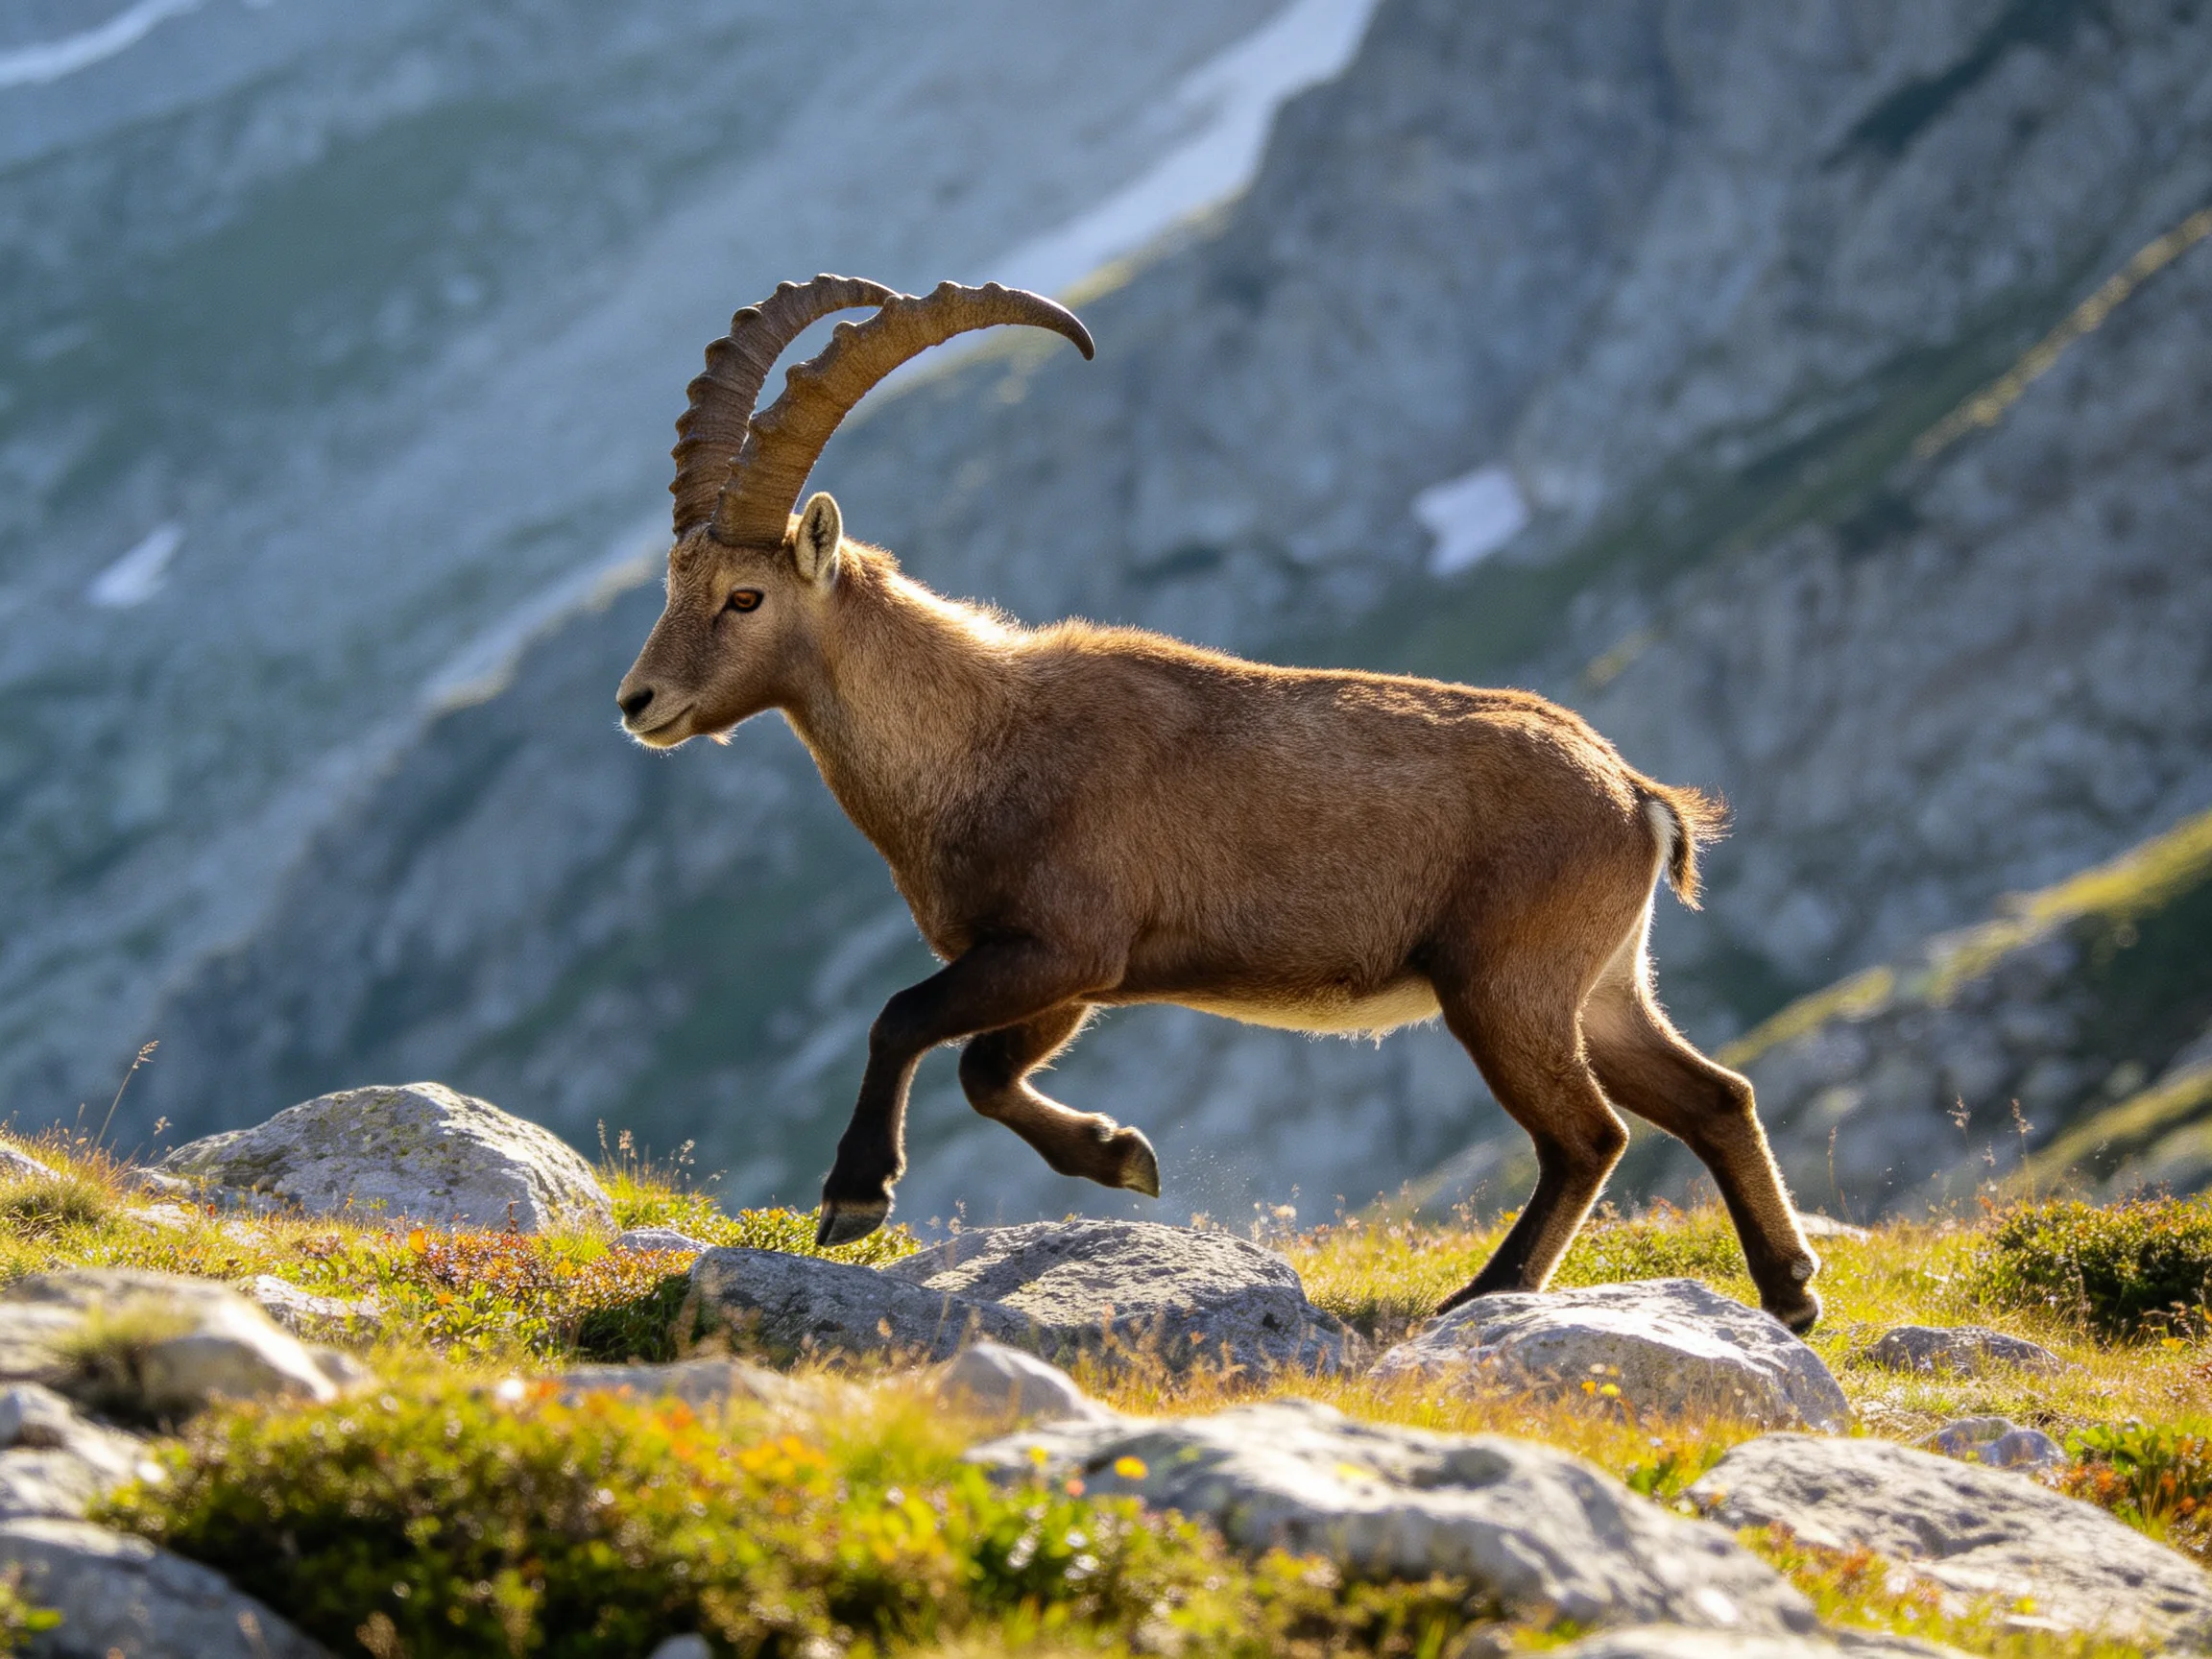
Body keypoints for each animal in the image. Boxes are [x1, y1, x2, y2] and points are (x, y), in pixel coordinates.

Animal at [617, 275, 1822, 1329]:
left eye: (744, 595)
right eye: (673, 586)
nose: (639, 703)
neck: (976, 738)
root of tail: (1636, 794)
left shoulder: (1062, 945)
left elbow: (904, 1020)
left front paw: (857, 1195)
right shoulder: (1067, 978)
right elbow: (985, 1070)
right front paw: (1122, 1156)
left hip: (1502, 983)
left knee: (1589, 1136)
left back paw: (1489, 1294)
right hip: (1603, 984)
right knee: (1715, 1097)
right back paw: (1791, 1289)